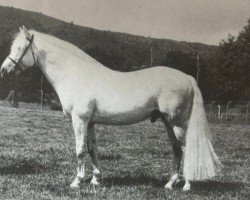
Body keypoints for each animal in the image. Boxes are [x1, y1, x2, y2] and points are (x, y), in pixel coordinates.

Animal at [0, 26, 222, 191]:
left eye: (19, 48)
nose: (3, 70)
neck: (75, 75)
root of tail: (188, 77)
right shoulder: (90, 122)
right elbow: (92, 148)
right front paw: (96, 179)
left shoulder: (79, 120)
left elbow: (80, 150)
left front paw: (77, 181)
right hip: (168, 122)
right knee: (176, 149)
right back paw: (170, 184)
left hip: (177, 122)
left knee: (186, 148)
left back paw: (186, 185)